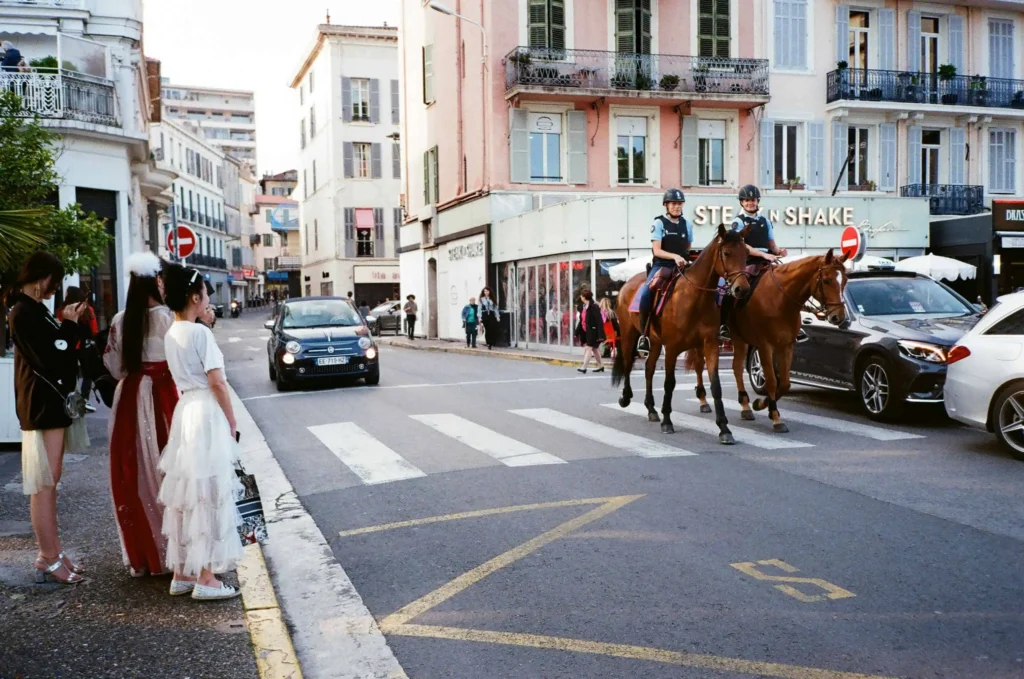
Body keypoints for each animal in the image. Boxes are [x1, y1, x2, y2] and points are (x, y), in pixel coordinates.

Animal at [610, 224, 757, 446]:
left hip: (655, 342)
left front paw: (724, 428)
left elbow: (716, 386)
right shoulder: (672, 348)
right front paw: (667, 421)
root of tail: (627, 284)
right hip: (629, 335)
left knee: (648, 369)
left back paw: (651, 409)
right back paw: (626, 398)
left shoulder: (709, 345)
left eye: (746, 254)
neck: (695, 296)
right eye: (726, 253)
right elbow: (669, 383)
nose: (742, 289)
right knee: (628, 364)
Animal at [688, 251, 847, 432]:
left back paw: (745, 406)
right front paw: (776, 418)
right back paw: (703, 401)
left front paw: (762, 405)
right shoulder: (765, 346)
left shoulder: (786, 346)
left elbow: (784, 383)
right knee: (699, 365)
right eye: (827, 280)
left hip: (740, 339)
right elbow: (771, 381)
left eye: (845, 280)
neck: (780, 299)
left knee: (736, 368)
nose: (838, 317)